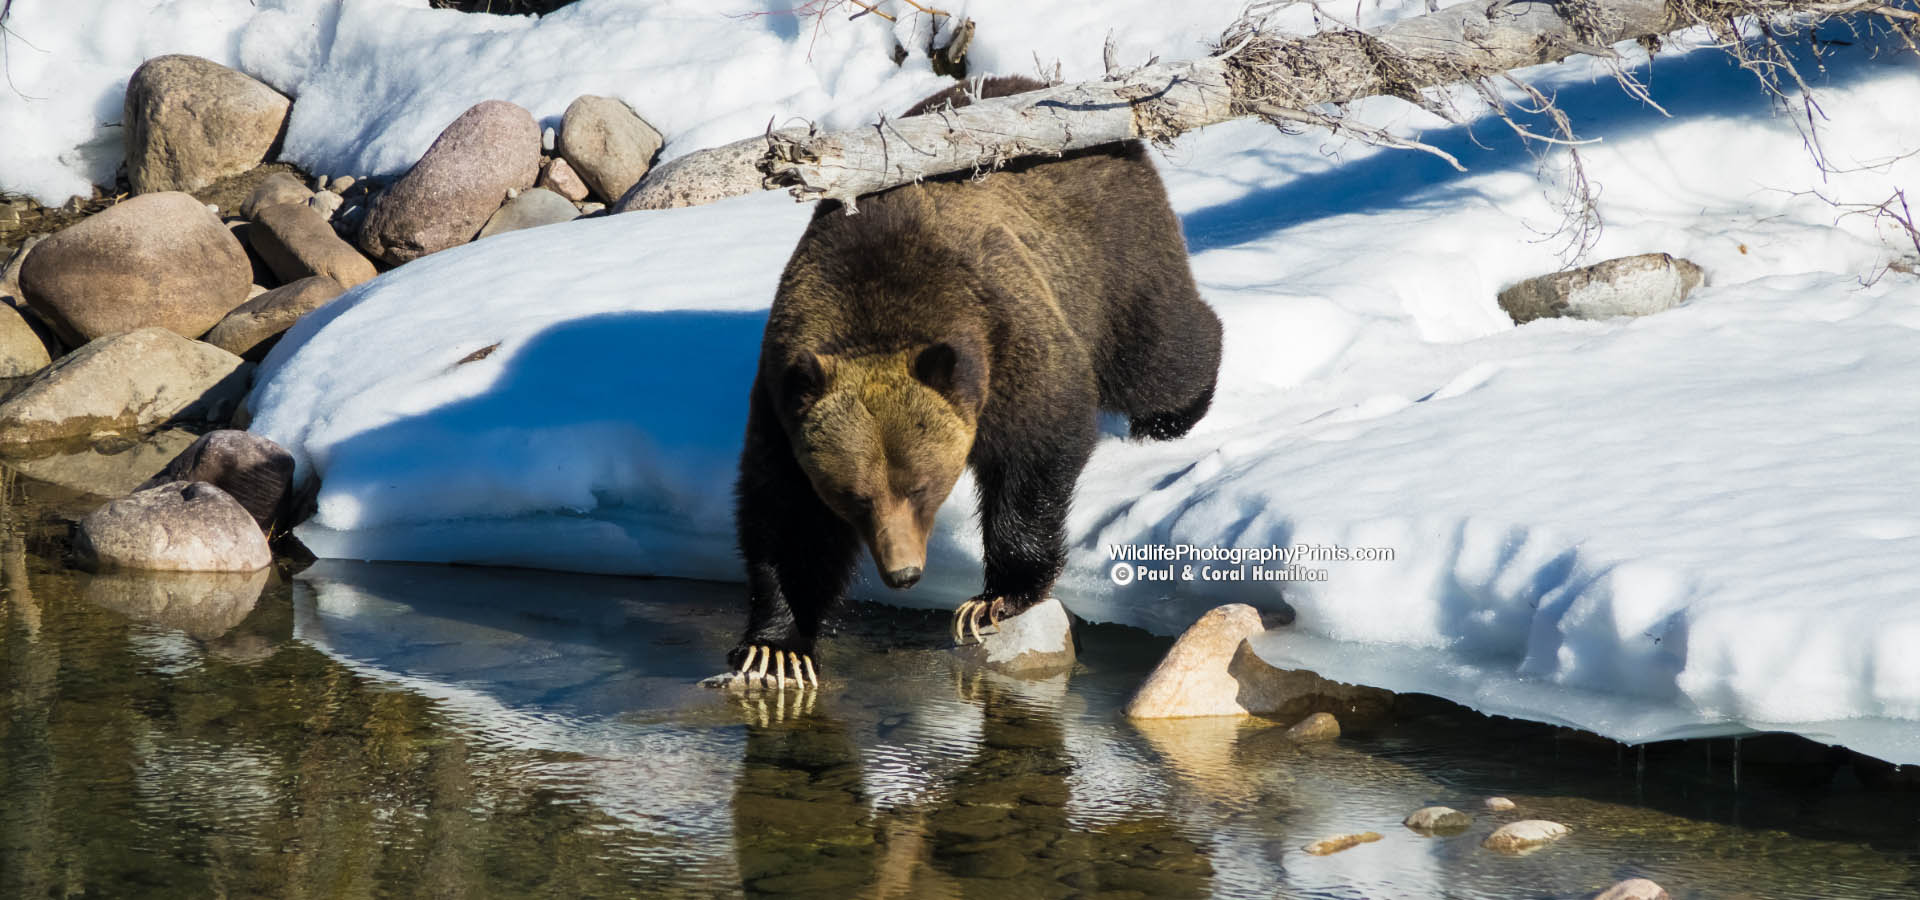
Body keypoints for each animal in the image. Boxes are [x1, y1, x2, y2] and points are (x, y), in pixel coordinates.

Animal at [725, 77, 1221, 683]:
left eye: (921, 486)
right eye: (853, 496)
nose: (904, 573)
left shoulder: (1005, 338)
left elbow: (1037, 450)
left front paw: (993, 599)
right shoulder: (782, 401)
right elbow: (786, 517)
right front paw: (775, 647)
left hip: (1108, 254)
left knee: (1155, 352)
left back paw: (1175, 413)